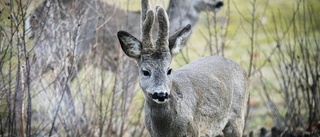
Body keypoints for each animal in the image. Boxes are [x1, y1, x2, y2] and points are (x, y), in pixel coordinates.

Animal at [117, 0, 250, 136]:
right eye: (145, 72)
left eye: (169, 70)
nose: (161, 94)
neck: (166, 129)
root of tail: (242, 69)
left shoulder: (194, 130)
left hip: (237, 118)